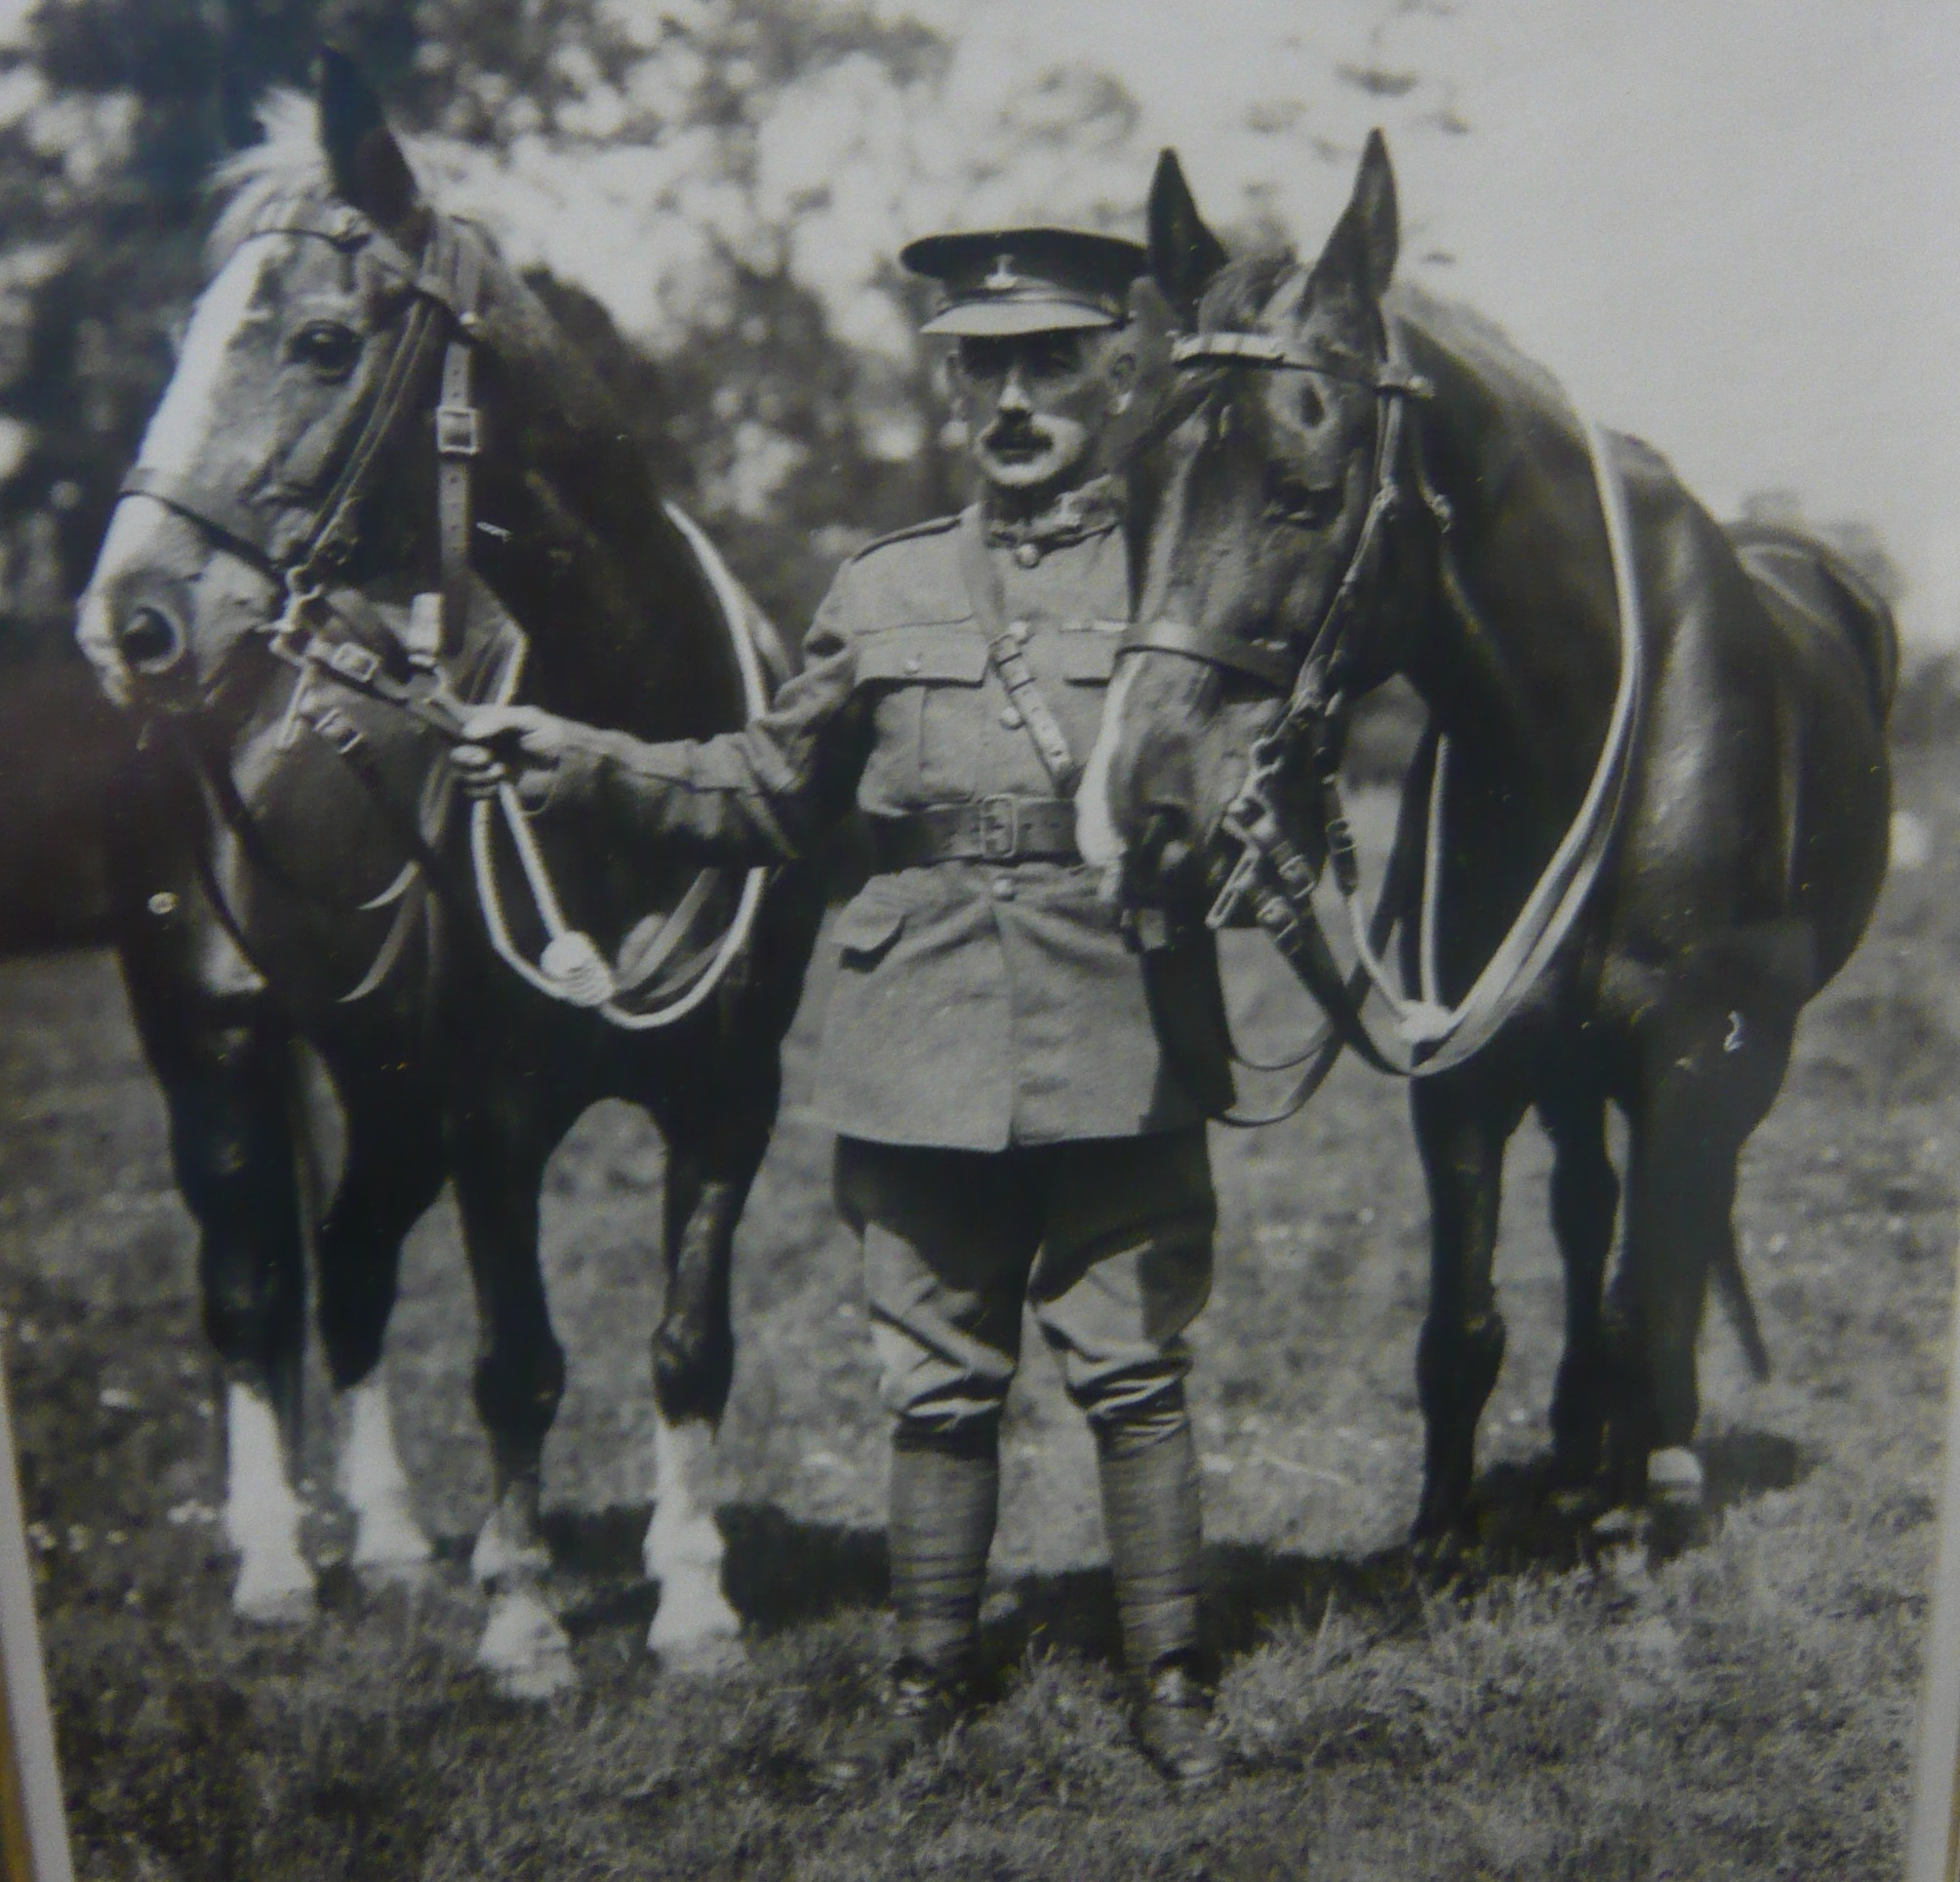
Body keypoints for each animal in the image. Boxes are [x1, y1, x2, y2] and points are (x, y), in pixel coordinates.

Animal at [74, 54, 826, 1693]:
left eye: (319, 338)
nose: (131, 619)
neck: (642, 753)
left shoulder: (726, 1103)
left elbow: (689, 1345)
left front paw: (691, 1602)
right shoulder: (498, 1119)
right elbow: (517, 1365)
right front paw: (531, 1624)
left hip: (385, 1087)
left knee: (351, 1268)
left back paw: (401, 1543)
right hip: (218, 1055)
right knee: (250, 1290)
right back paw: (280, 1563)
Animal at [1079, 137, 1895, 1544]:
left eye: (1306, 496)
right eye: (1132, 496)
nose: (1145, 808)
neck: (1591, 721)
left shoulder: (1695, 1057)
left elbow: (1651, 1285)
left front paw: (1644, 1494)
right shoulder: (1462, 1074)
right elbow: (1458, 1326)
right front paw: (1443, 1530)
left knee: (1671, 1231)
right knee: (1585, 1208)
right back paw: (1577, 1440)